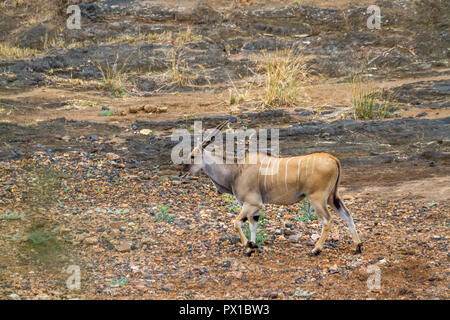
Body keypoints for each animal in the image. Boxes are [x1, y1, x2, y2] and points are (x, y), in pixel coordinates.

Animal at [180, 121, 362, 256]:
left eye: (192, 156)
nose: (182, 173)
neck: (236, 170)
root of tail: (333, 159)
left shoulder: (253, 203)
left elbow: (236, 223)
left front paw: (248, 246)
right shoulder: (254, 208)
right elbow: (252, 225)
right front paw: (252, 246)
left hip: (317, 198)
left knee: (327, 220)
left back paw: (316, 249)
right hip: (332, 197)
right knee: (347, 215)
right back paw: (357, 246)